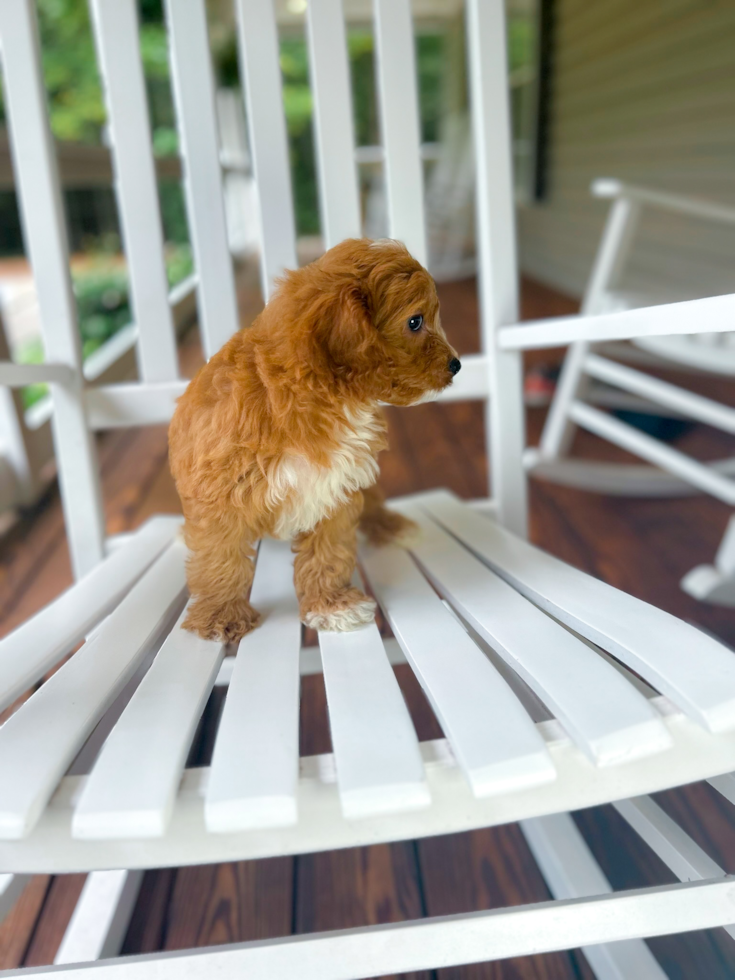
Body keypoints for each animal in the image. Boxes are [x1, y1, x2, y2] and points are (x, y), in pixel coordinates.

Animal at [170, 237, 462, 644]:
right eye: (415, 321)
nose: (457, 364)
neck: (320, 394)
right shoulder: (219, 491)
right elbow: (220, 558)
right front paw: (220, 616)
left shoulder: (336, 486)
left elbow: (329, 551)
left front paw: (331, 606)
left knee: (373, 501)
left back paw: (392, 526)